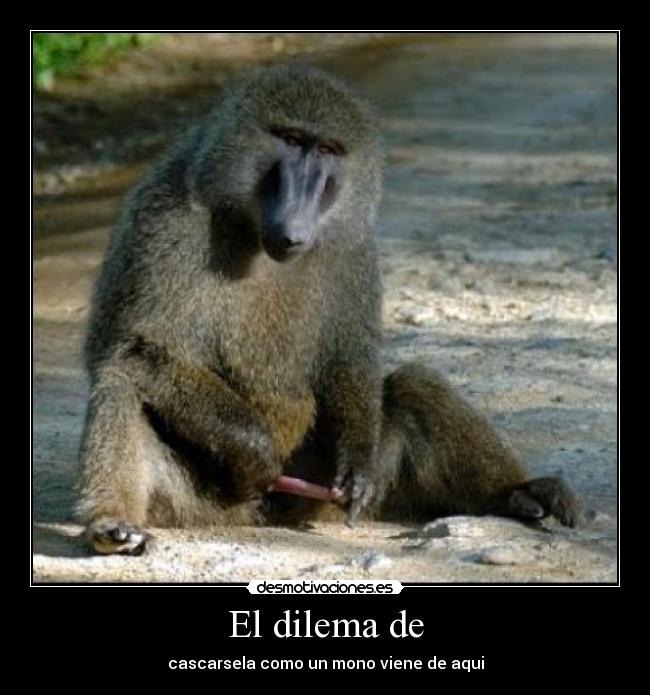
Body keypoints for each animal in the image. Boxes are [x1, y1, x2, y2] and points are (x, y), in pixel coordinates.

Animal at [76, 65, 579, 556]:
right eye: (291, 140)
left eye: (326, 150)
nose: (296, 219)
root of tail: (262, 515)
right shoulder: (165, 219)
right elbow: (134, 345)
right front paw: (255, 451)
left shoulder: (355, 248)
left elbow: (348, 356)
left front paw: (356, 465)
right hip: (203, 500)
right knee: (123, 378)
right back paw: (112, 524)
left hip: (319, 494)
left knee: (414, 385)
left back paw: (519, 494)